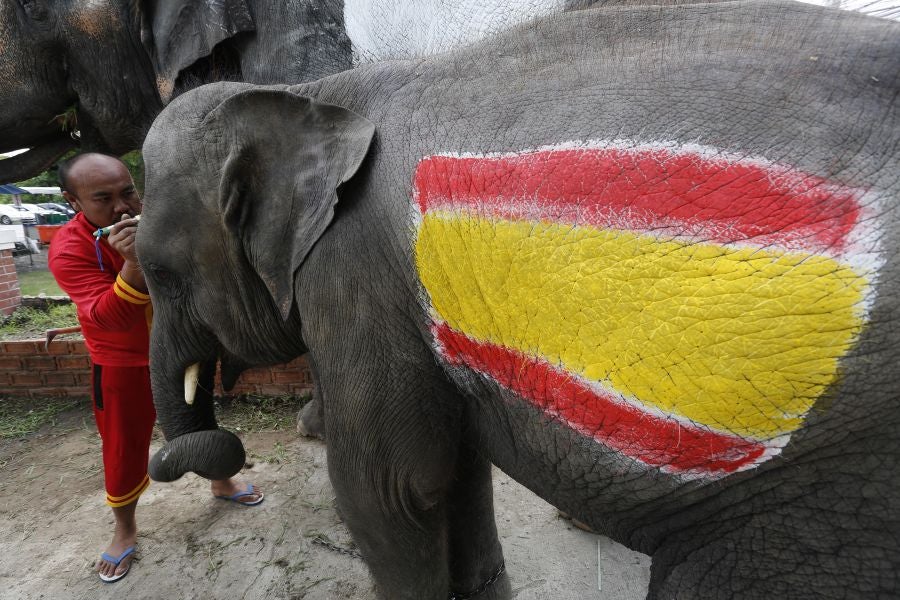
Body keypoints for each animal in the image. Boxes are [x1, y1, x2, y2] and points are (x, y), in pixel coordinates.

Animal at [136, 0, 900, 598]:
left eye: (160, 271)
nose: (229, 450)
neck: (317, 91)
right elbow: (458, 472)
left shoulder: (355, 274)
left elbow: (391, 490)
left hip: (819, 487)